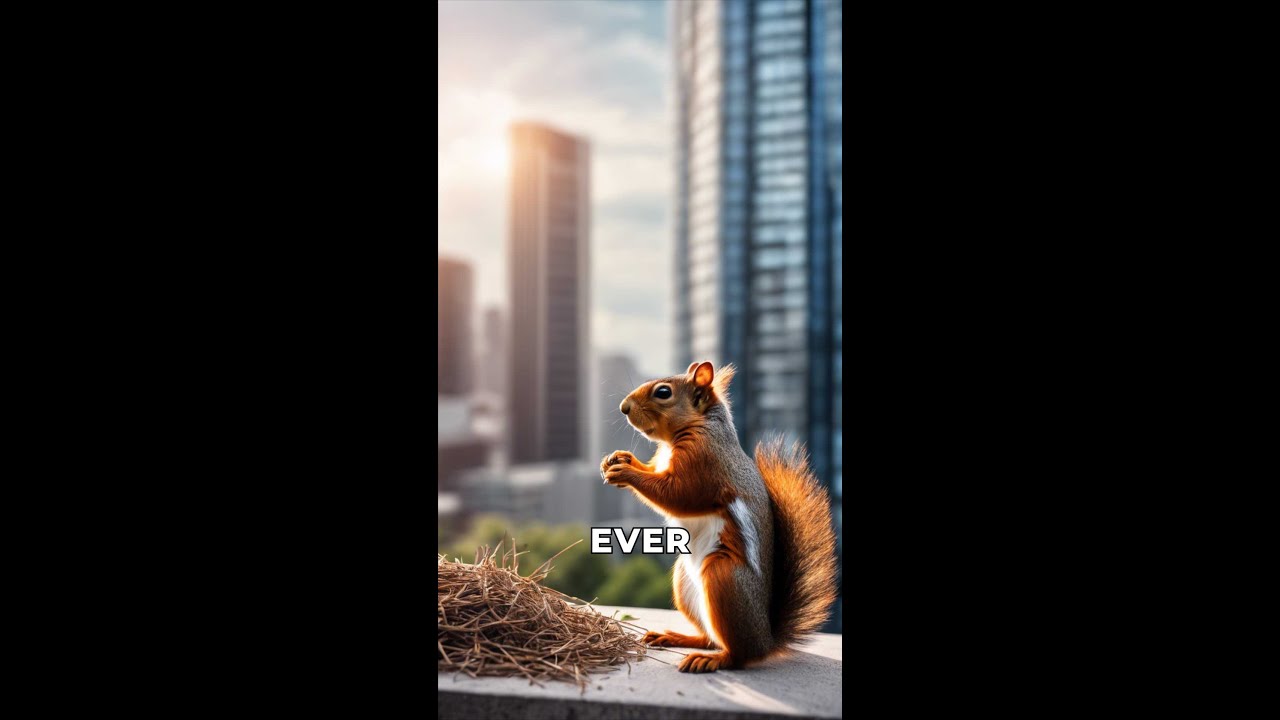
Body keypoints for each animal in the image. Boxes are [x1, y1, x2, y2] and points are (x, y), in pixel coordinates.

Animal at [600, 360, 837, 673]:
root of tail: (766, 639)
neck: (698, 426)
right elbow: (652, 472)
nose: (623, 408)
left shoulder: (705, 463)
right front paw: (618, 458)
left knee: (739, 653)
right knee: (710, 638)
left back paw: (713, 659)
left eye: (663, 392)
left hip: (723, 578)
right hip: (684, 582)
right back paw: (676, 637)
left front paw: (625, 472)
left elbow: (676, 494)